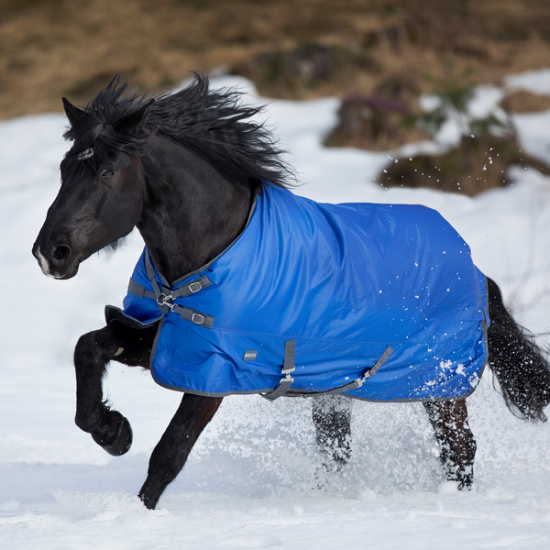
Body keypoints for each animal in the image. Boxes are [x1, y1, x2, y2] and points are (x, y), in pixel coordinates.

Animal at [33, 75, 550, 512]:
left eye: (107, 171)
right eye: (64, 168)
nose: (49, 253)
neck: (211, 252)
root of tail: (476, 271)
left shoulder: (216, 369)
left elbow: (170, 451)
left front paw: (138, 509)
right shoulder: (162, 340)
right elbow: (87, 348)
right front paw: (113, 432)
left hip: (439, 386)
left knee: (459, 450)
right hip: (334, 389)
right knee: (338, 451)